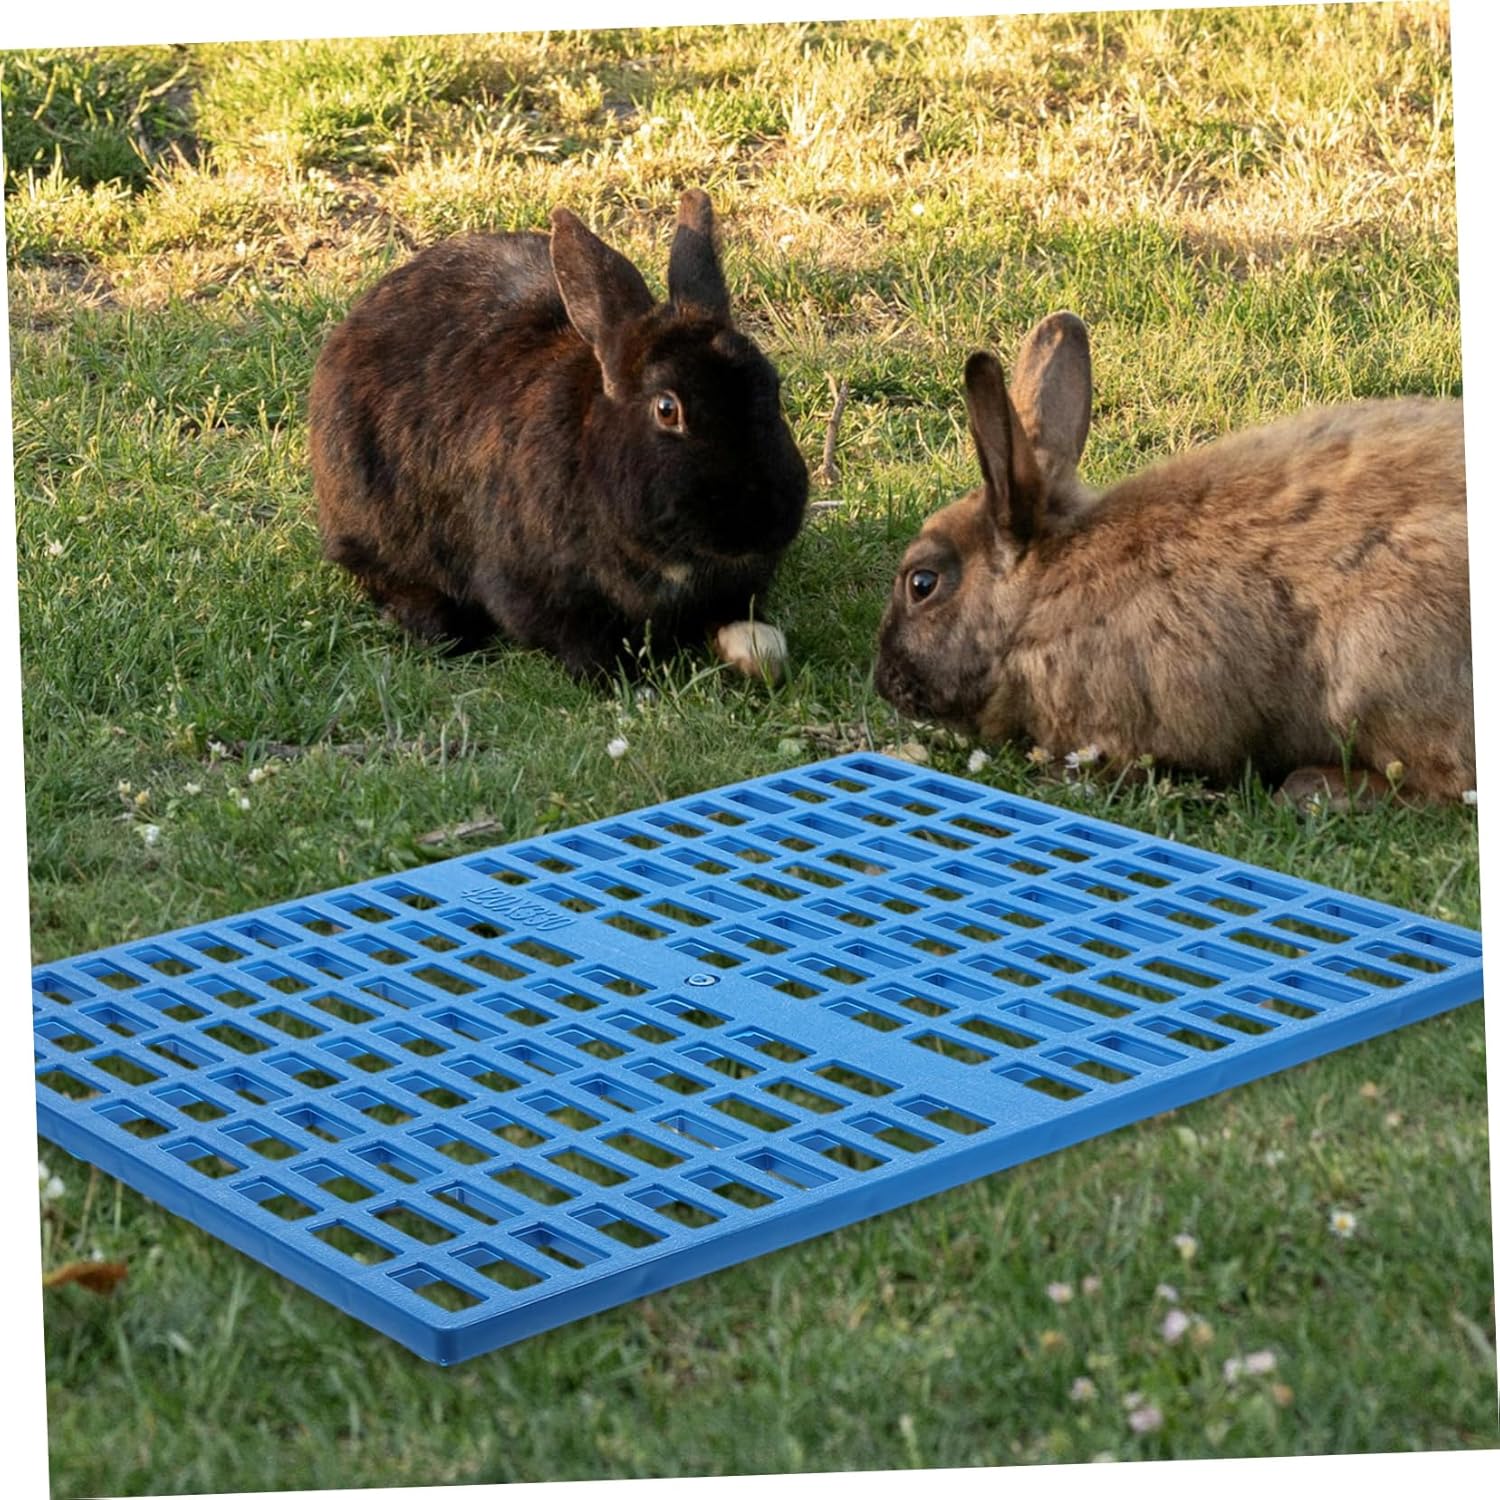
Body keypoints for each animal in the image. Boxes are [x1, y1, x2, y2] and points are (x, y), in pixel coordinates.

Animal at [309, 189, 808, 682]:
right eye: (668, 410)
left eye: (772, 384)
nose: (761, 522)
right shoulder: (539, 596)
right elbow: (585, 648)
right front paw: (631, 685)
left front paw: (754, 651)